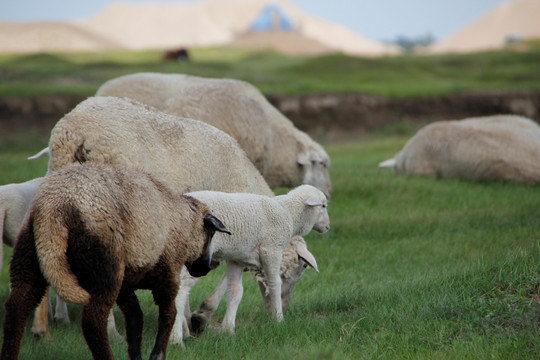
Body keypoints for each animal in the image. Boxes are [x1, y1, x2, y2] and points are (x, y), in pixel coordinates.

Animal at [0, 164, 230, 360]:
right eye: (211, 234)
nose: (208, 268)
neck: (182, 223)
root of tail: (54, 206)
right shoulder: (168, 275)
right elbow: (168, 315)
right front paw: (157, 354)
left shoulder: (126, 286)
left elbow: (135, 318)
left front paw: (136, 355)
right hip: (104, 267)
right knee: (93, 321)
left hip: (28, 256)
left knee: (16, 306)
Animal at [177, 184, 330, 334]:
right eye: (323, 206)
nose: (327, 227)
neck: (289, 214)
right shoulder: (272, 249)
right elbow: (275, 284)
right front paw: (279, 319)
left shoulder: (237, 257)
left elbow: (235, 291)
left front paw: (228, 329)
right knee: (182, 287)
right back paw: (180, 333)